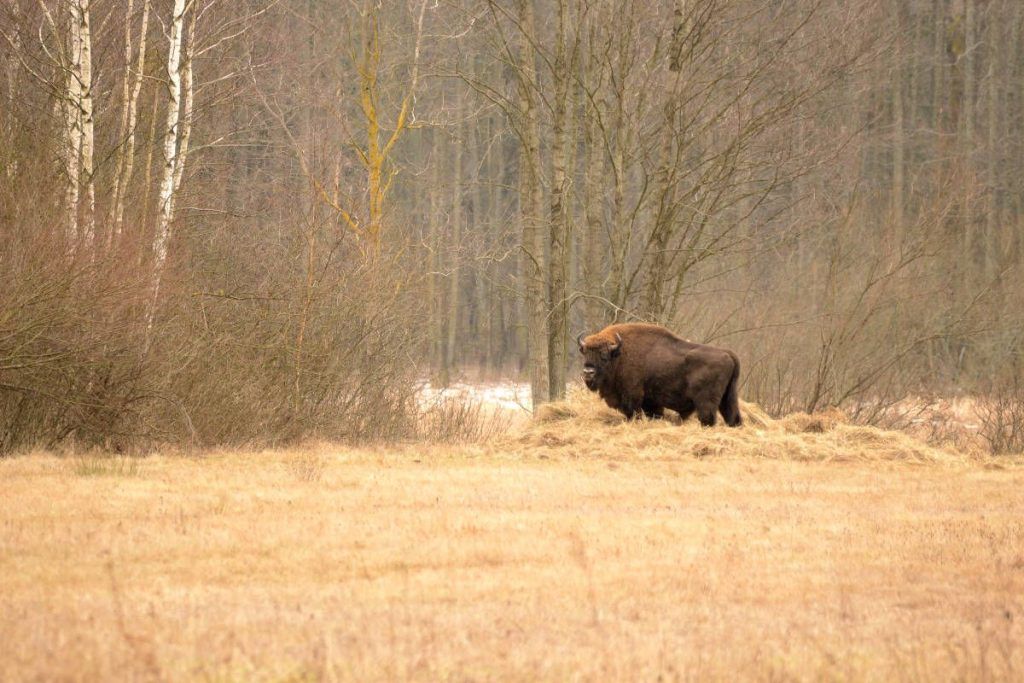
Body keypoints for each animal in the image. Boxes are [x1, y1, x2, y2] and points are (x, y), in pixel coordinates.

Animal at [577, 323, 742, 427]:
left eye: (604, 356)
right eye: (585, 354)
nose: (588, 372)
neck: (619, 354)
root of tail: (728, 354)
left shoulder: (633, 398)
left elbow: (634, 414)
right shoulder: (651, 403)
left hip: (706, 403)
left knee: (708, 419)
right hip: (728, 398)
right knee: (733, 418)